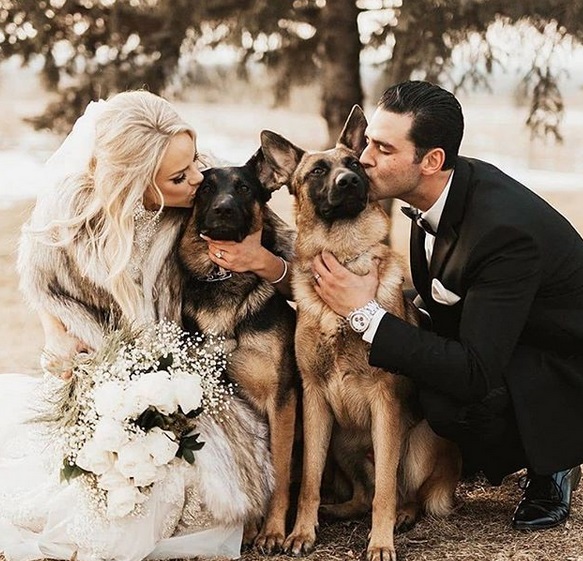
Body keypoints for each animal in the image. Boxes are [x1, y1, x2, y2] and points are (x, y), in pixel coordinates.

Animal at [178, 153, 298, 552]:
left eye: (244, 187)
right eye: (205, 188)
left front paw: (272, 531)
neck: (224, 277)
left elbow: (279, 469)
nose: (224, 209)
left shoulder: (282, 398)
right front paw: (246, 530)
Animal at [260, 106, 460, 560]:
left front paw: (381, 542)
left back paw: (403, 515)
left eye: (354, 164)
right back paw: (335, 510)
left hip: (416, 444)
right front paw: (301, 532)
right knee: (360, 495)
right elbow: (310, 481)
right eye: (318, 171)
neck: (345, 257)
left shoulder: (384, 404)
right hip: (342, 441)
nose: (350, 181)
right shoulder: (315, 400)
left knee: (404, 492)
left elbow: (385, 486)